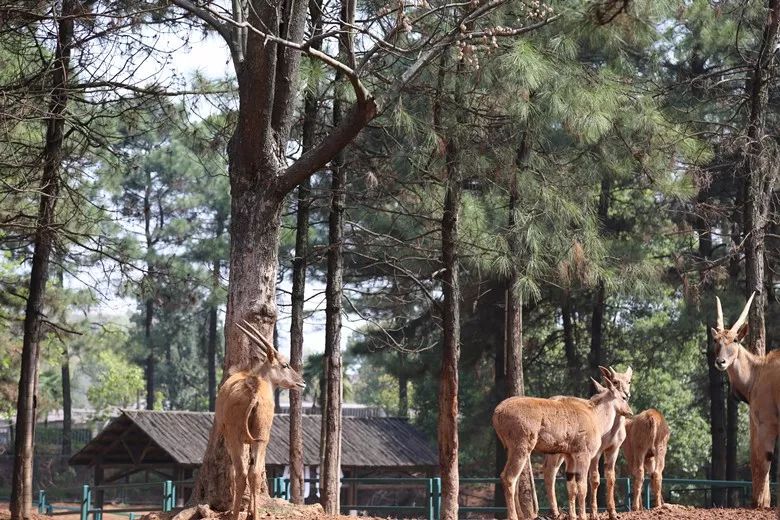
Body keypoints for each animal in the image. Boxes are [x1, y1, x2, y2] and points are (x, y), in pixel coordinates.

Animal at [210, 318, 308, 520]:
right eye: (285, 364)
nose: (302, 382)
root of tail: (253, 390)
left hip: (238, 439)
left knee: (242, 474)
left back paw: (236, 514)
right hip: (259, 438)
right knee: (252, 473)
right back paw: (249, 514)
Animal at [544, 366, 632, 520]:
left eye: (629, 381)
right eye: (615, 381)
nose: (627, 395)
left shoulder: (613, 449)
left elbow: (611, 478)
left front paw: (613, 513)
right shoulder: (595, 452)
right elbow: (594, 479)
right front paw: (593, 514)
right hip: (555, 453)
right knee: (550, 472)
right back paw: (555, 512)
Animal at [712, 294, 780, 510]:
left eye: (734, 339)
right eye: (716, 340)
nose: (720, 362)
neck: (759, 371)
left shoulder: (767, 423)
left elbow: (763, 459)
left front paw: (759, 503)